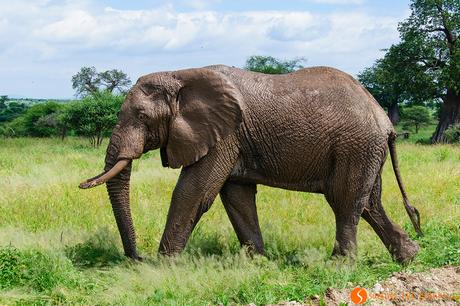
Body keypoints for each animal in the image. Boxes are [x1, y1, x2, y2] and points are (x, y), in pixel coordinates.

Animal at [80, 64, 424, 262]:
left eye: (141, 116)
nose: (136, 258)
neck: (180, 75)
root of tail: (384, 119)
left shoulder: (224, 134)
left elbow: (194, 192)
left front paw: (164, 266)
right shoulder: (233, 138)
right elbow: (237, 196)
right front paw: (256, 262)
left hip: (355, 145)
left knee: (344, 200)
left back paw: (339, 265)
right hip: (364, 149)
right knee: (369, 203)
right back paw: (408, 257)